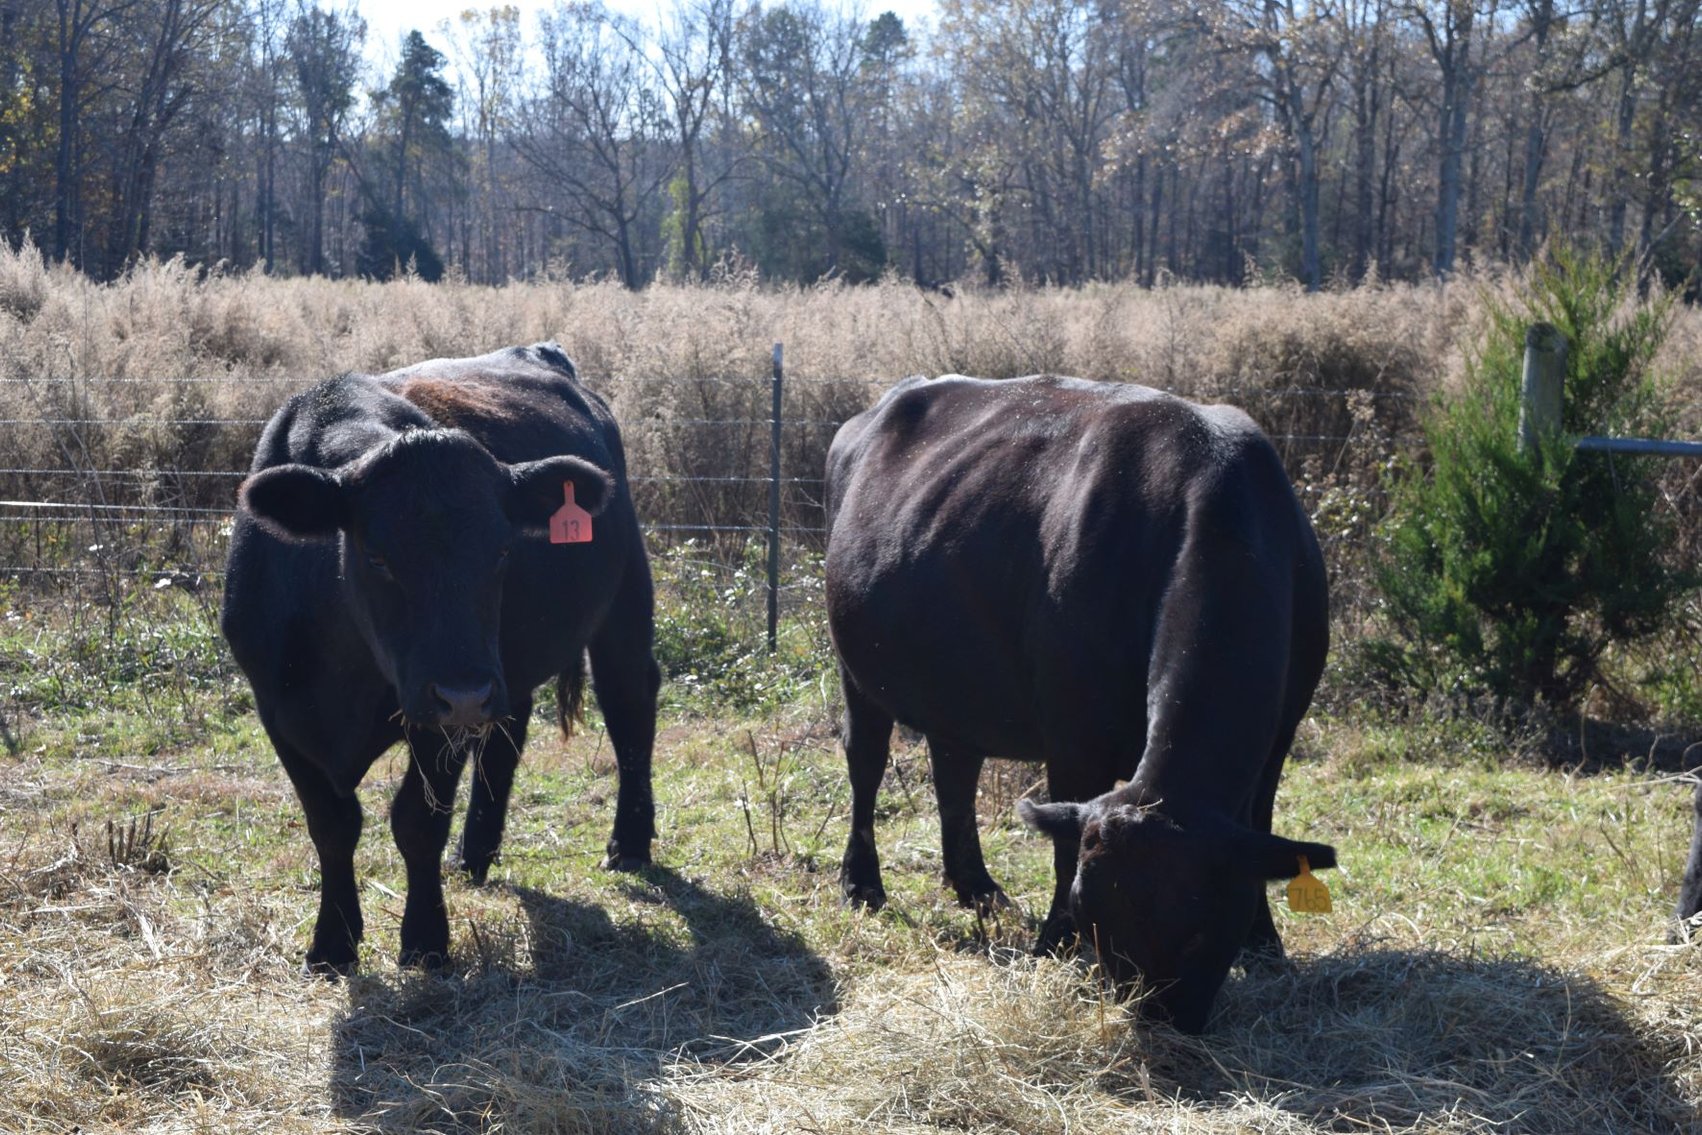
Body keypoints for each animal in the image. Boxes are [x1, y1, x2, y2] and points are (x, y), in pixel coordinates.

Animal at [221, 342, 659, 974]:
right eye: (377, 556)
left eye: (502, 550)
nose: (466, 694)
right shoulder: (277, 709)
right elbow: (331, 825)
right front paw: (332, 944)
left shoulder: (438, 714)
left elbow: (416, 822)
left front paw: (426, 939)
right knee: (509, 735)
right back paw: (475, 853)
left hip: (618, 603)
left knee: (630, 707)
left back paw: (629, 844)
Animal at [824, 374, 1336, 1033]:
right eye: (1098, 917)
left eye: (1204, 930)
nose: (1158, 1020)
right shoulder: (1074, 739)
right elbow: (1066, 849)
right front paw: (1052, 947)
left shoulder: (1280, 736)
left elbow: (1262, 827)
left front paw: (1266, 944)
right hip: (856, 668)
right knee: (866, 763)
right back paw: (863, 886)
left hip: (957, 684)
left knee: (954, 770)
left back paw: (978, 888)